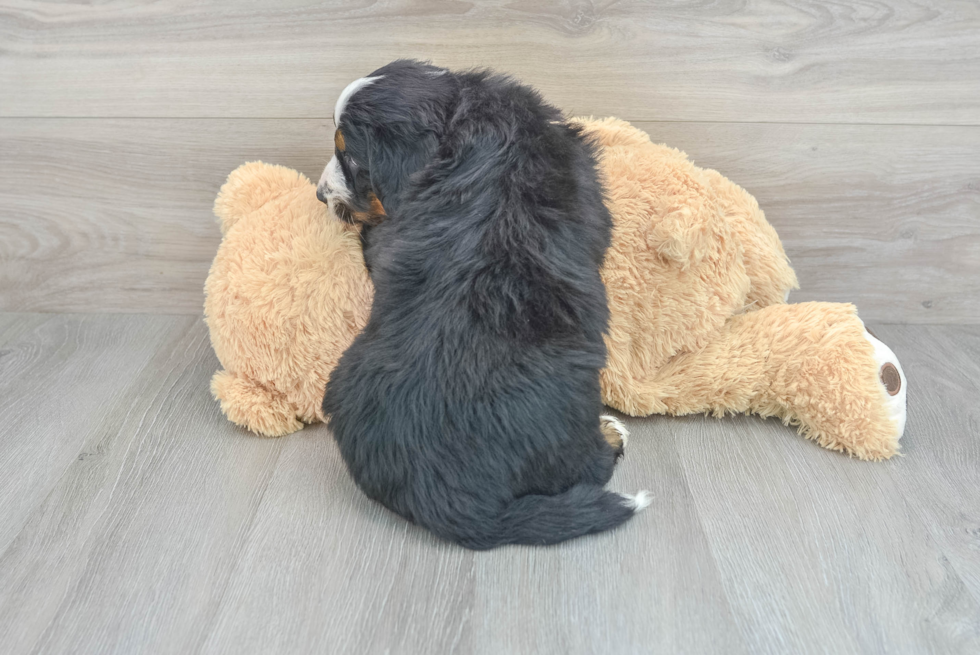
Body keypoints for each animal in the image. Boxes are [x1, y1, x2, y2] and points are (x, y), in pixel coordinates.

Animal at [316, 61, 652, 552]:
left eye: (352, 157)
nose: (320, 194)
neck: (463, 117)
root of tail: (456, 504)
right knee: (588, 470)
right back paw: (611, 434)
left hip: (344, 378)